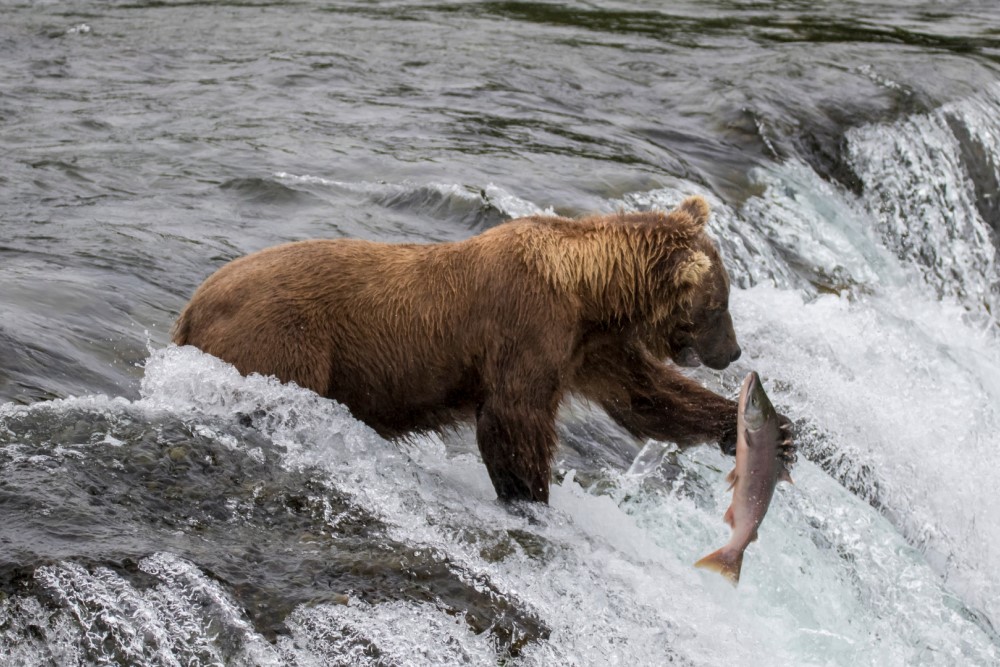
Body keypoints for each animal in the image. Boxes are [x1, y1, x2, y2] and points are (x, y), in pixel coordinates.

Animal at [173, 196, 776, 503]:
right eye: (720, 304)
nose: (733, 351)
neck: (590, 293)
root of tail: (190, 307)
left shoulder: (587, 347)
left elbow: (647, 398)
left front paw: (762, 430)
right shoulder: (528, 329)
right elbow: (513, 419)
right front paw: (530, 496)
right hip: (280, 341)